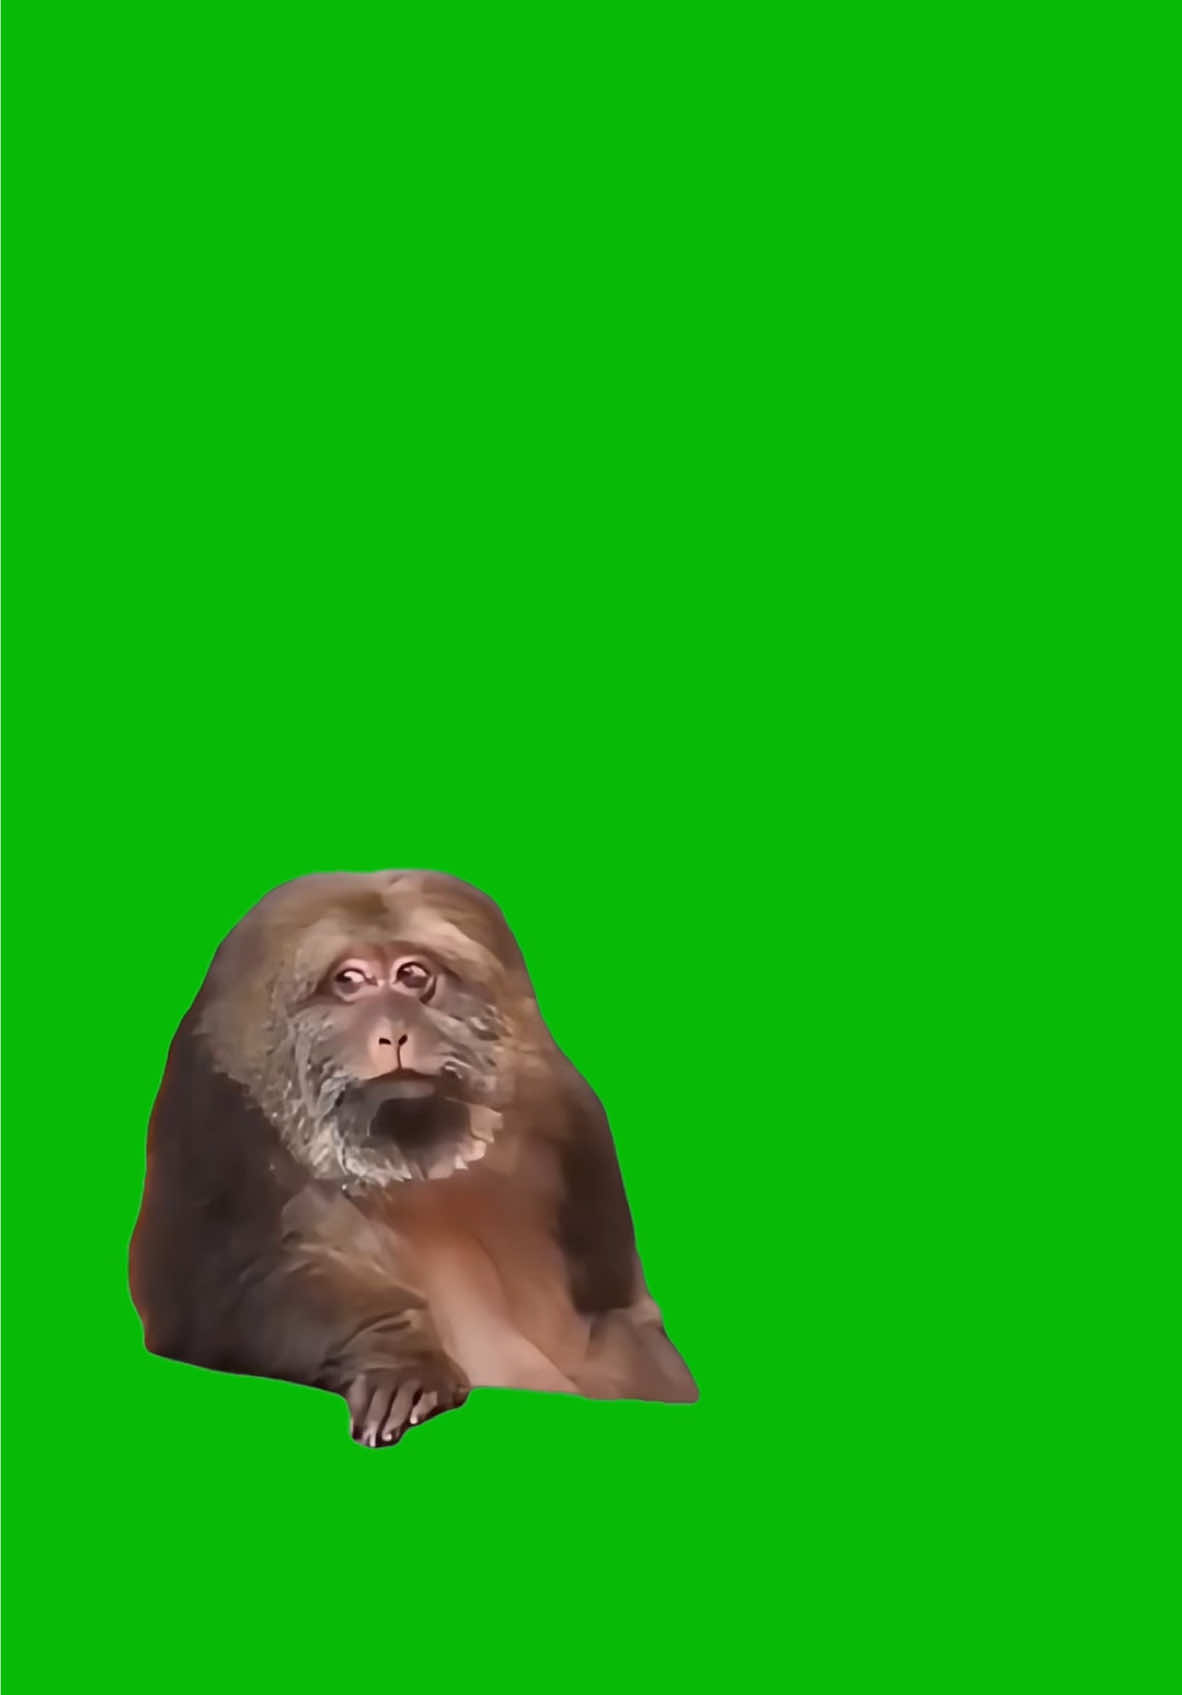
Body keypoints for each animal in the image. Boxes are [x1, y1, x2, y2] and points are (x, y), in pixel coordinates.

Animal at [129, 871, 698, 1446]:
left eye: (413, 975)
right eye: (350, 981)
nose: (395, 1032)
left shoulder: (565, 1105)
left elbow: (622, 1316)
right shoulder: (222, 1119)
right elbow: (242, 1289)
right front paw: (401, 1359)